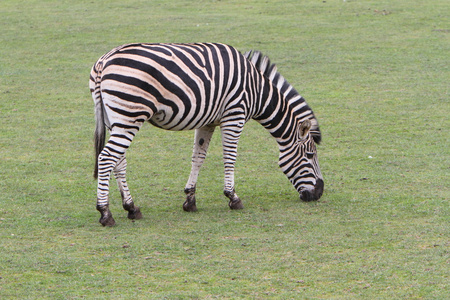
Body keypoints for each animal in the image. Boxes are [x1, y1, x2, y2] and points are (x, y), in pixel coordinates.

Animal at [89, 41, 324, 225]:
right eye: (310, 156)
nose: (319, 193)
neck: (257, 91)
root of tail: (103, 61)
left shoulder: (208, 121)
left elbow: (198, 158)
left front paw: (190, 199)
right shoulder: (234, 116)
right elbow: (230, 158)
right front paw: (233, 197)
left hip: (115, 119)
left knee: (119, 161)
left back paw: (131, 208)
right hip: (130, 115)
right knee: (107, 158)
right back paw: (105, 213)